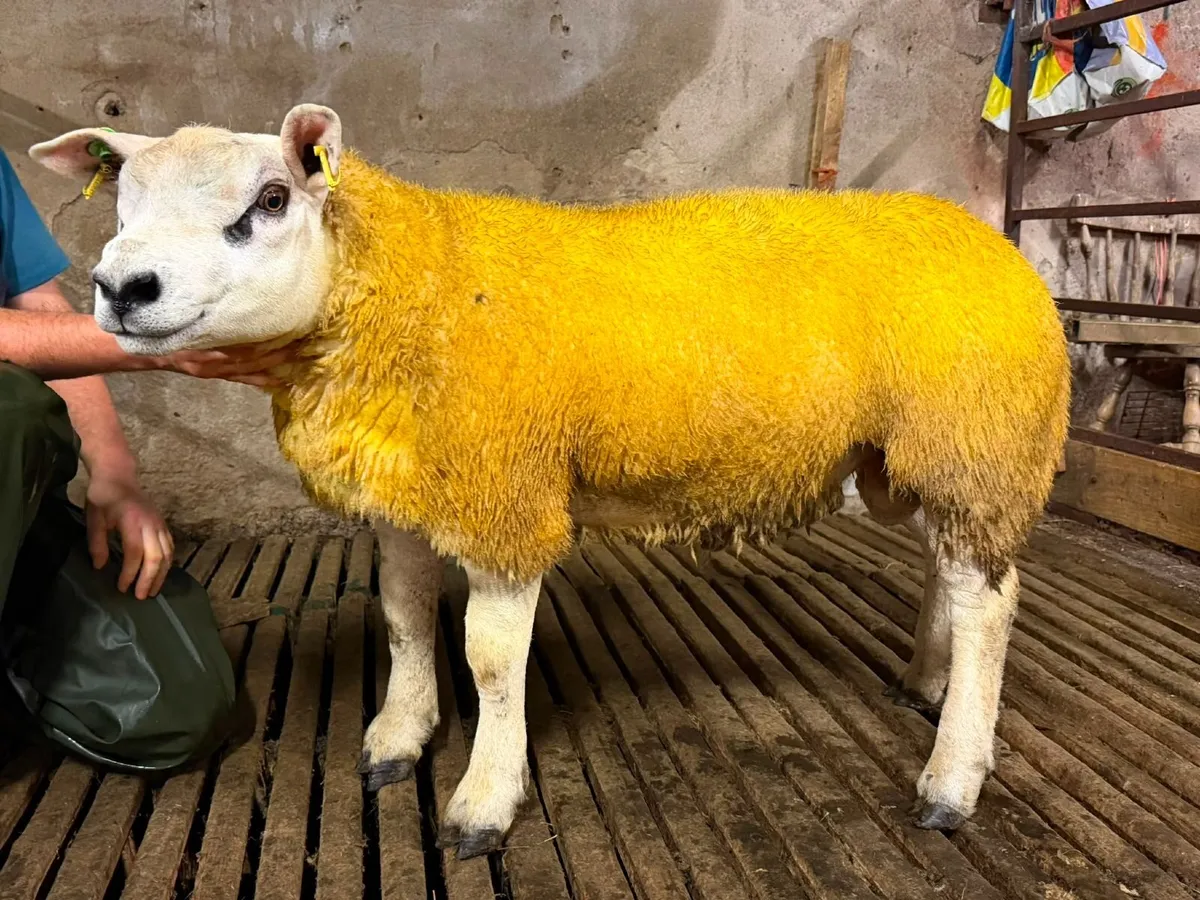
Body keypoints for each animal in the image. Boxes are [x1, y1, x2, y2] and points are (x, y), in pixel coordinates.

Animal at [31, 103, 1071, 859]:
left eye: (274, 198)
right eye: (120, 205)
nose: (122, 288)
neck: (418, 280)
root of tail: (993, 242)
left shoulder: (505, 498)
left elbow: (493, 660)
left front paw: (485, 800)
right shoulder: (407, 489)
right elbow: (404, 616)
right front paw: (399, 735)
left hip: (978, 437)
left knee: (990, 603)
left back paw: (952, 775)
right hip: (938, 453)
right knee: (954, 572)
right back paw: (929, 681)